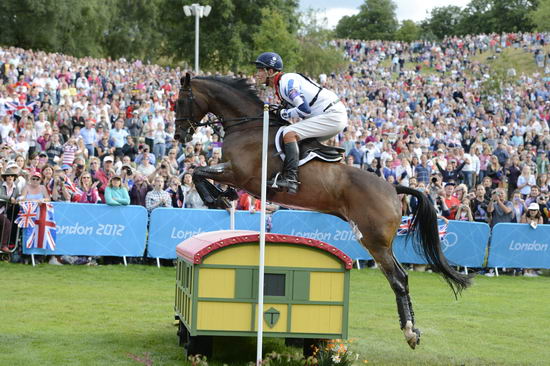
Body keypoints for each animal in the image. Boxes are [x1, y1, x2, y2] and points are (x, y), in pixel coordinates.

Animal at [175, 72, 472, 348]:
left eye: (179, 102)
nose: (179, 135)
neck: (248, 126)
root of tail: (392, 188)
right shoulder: (237, 177)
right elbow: (199, 171)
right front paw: (223, 197)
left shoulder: (241, 174)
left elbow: (198, 171)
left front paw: (216, 199)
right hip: (377, 241)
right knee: (402, 276)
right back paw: (412, 330)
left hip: (374, 240)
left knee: (398, 278)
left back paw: (410, 332)